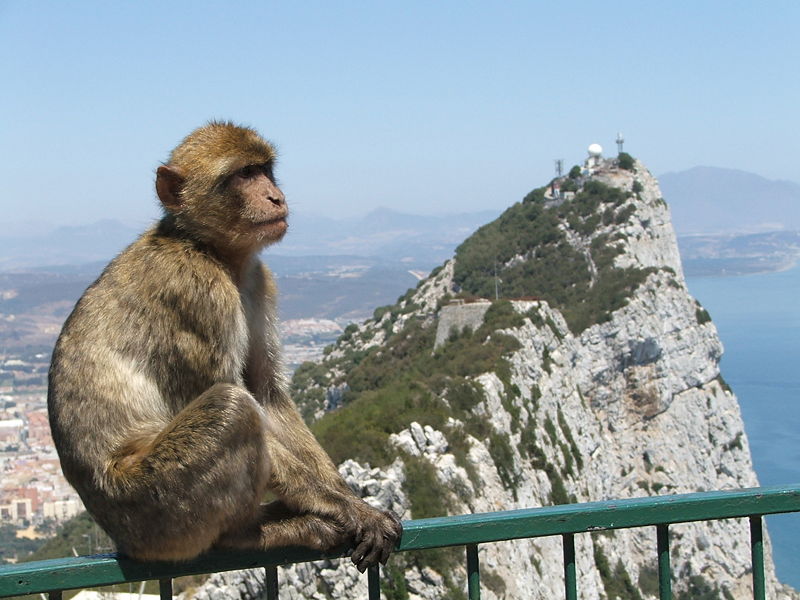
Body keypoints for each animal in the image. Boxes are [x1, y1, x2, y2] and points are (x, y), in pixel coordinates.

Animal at [47, 123, 404, 572]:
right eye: (242, 175)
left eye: (264, 170)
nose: (275, 196)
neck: (207, 248)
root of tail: (121, 538)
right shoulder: (198, 293)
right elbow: (243, 401)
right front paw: (347, 509)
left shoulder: (258, 280)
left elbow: (266, 394)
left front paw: (346, 496)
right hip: (156, 508)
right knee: (231, 409)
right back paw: (244, 534)